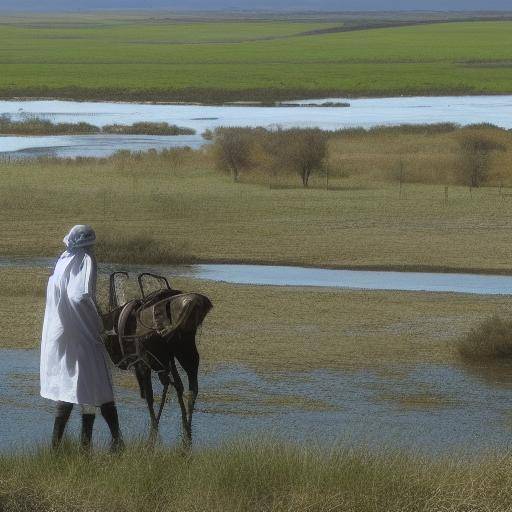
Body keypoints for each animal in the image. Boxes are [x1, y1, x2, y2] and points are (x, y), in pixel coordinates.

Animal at [102, 274, 212, 446]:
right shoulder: (161, 361)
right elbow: (172, 387)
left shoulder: (145, 363)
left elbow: (151, 395)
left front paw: (154, 429)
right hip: (186, 353)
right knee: (191, 388)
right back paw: (187, 432)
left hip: (171, 356)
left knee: (177, 386)